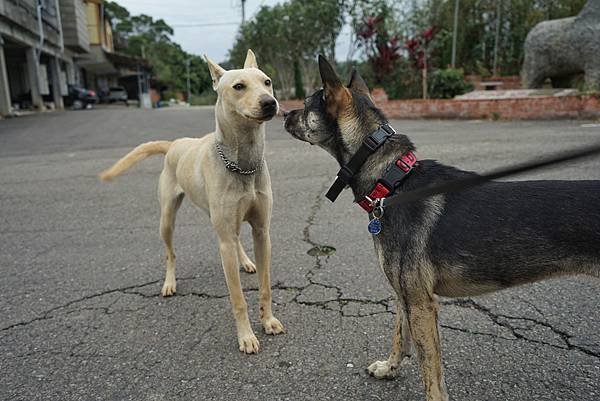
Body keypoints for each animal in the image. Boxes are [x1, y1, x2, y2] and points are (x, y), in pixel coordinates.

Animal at [284, 57, 600, 400]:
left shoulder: (422, 305)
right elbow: (399, 337)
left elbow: (431, 373)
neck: (393, 181)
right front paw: (389, 368)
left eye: (306, 104)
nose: (282, 112)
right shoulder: (405, 297)